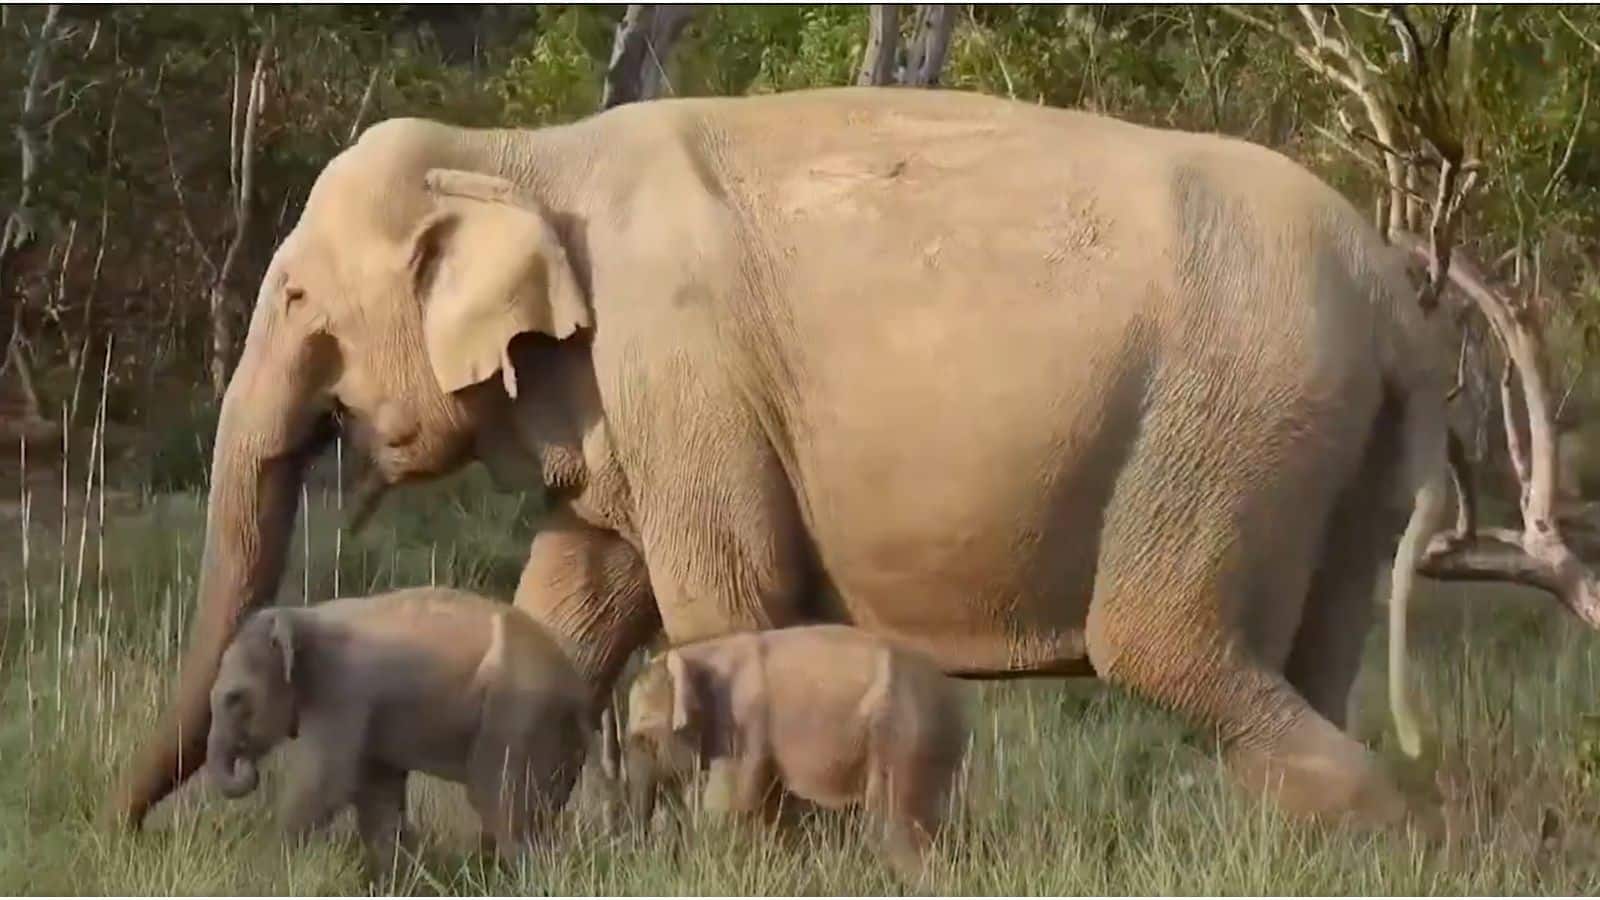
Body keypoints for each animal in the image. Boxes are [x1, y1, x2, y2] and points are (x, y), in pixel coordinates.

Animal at [112, 85, 1454, 834]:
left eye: (295, 296)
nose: (119, 825)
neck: (525, 151)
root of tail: (1396, 298)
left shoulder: (685, 369)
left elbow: (732, 599)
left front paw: (753, 853)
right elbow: (570, 604)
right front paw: (513, 849)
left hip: (1226, 422)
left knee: (1164, 645)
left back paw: (1390, 830)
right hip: (1323, 450)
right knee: (1308, 654)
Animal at [205, 587, 591, 875]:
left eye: (235, 698)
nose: (247, 765)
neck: (302, 615)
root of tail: (579, 688)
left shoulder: (343, 693)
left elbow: (327, 782)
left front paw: (264, 869)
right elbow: (377, 794)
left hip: (518, 715)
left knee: (500, 803)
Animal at [622, 625, 969, 879]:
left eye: (644, 739)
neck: (697, 653)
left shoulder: (744, 723)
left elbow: (731, 805)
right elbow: (771, 807)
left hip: (904, 734)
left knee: (894, 823)